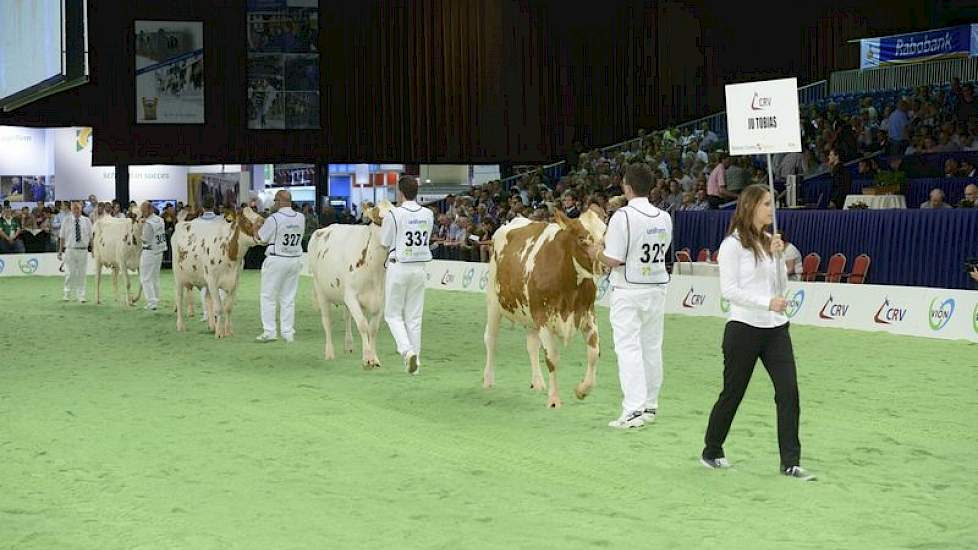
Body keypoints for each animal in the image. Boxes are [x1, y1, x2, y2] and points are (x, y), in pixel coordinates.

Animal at [172, 211, 262, 340]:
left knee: (207, 298)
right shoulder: (212, 280)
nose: (263, 222)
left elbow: (228, 307)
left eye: (260, 216)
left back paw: (211, 326)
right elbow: (219, 308)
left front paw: (228, 331)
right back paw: (181, 325)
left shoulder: (235, 282)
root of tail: (183, 222)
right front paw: (219, 333)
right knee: (179, 299)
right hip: (178, 275)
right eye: (245, 220)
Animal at [308, 206, 392, 370]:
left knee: (347, 317)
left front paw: (375, 358)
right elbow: (363, 325)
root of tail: (322, 229)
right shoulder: (351, 297)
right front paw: (367, 359)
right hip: (320, 289)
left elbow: (373, 328)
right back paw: (329, 353)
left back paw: (349, 345)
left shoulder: (382, 299)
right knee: (327, 321)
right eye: (379, 219)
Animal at [484, 211, 608, 410]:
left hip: (529, 314)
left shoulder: (588, 315)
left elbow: (594, 353)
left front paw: (582, 390)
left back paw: (538, 382)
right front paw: (554, 399)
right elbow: (552, 358)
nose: (604, 265)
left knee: (531, 345)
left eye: (604, 233)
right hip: (494, 302)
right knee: (490, 339)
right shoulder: (543, 318)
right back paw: (488, 380)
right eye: (582, 239)